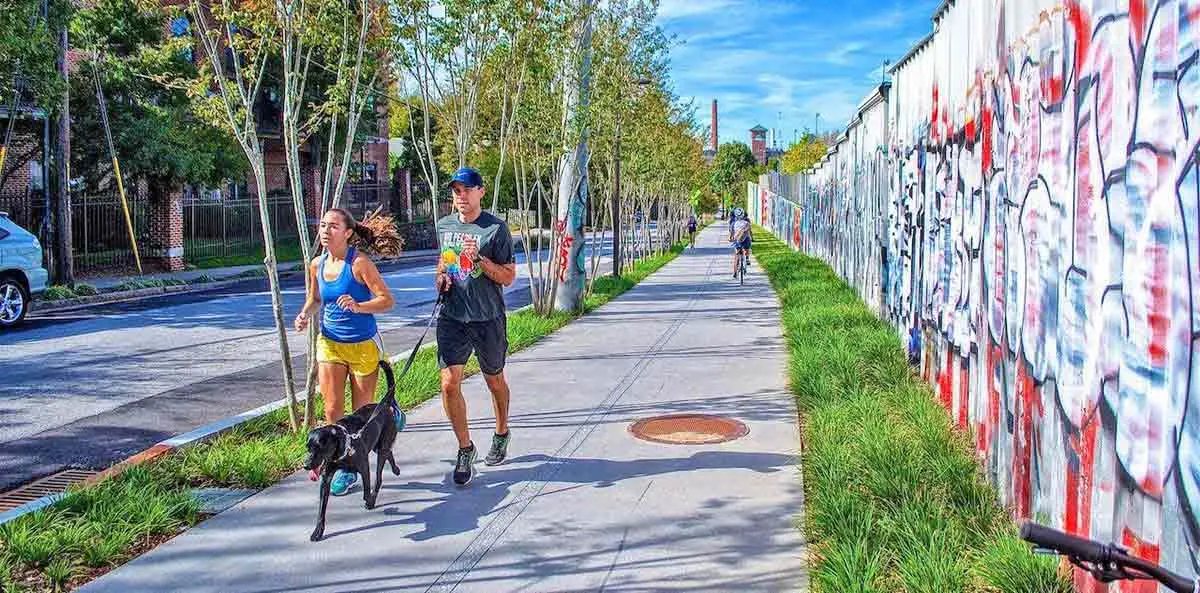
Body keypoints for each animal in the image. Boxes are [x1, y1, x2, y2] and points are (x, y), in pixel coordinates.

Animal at [302, 362, 400, 542]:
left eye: (319, 446)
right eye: (307, 447)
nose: (306, 465)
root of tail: (383, 404)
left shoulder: (364, 468)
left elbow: (367, 491)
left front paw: (369, 501)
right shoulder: (326, 479)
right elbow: (321, 510)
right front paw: (318, 531)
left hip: (381, 446)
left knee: (380, 475)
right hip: (376, 445)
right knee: (388, 452)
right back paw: (396, 469)